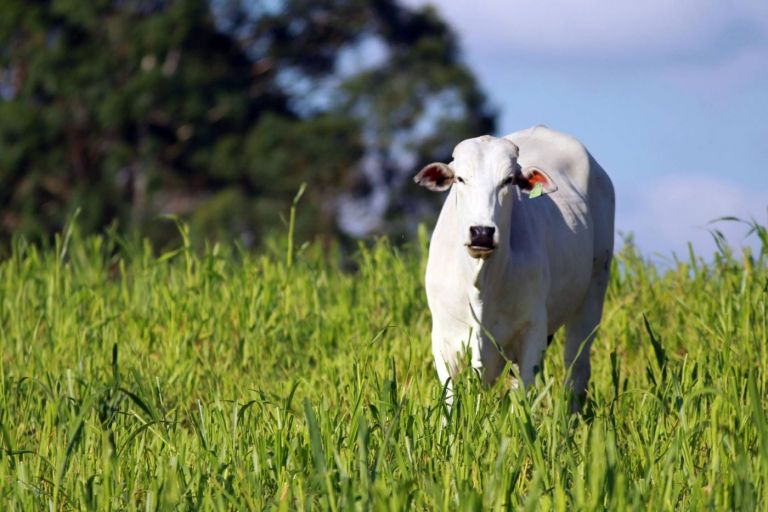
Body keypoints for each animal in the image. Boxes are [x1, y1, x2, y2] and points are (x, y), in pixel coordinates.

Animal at [414, 125, 614, 410]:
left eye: (508, 180)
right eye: (460, 179)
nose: (482, 232)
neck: (480, 282)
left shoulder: (532, 333)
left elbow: (526, 396)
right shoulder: (443, 339)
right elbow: (450, 400)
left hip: (593, 293)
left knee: (576, 370)